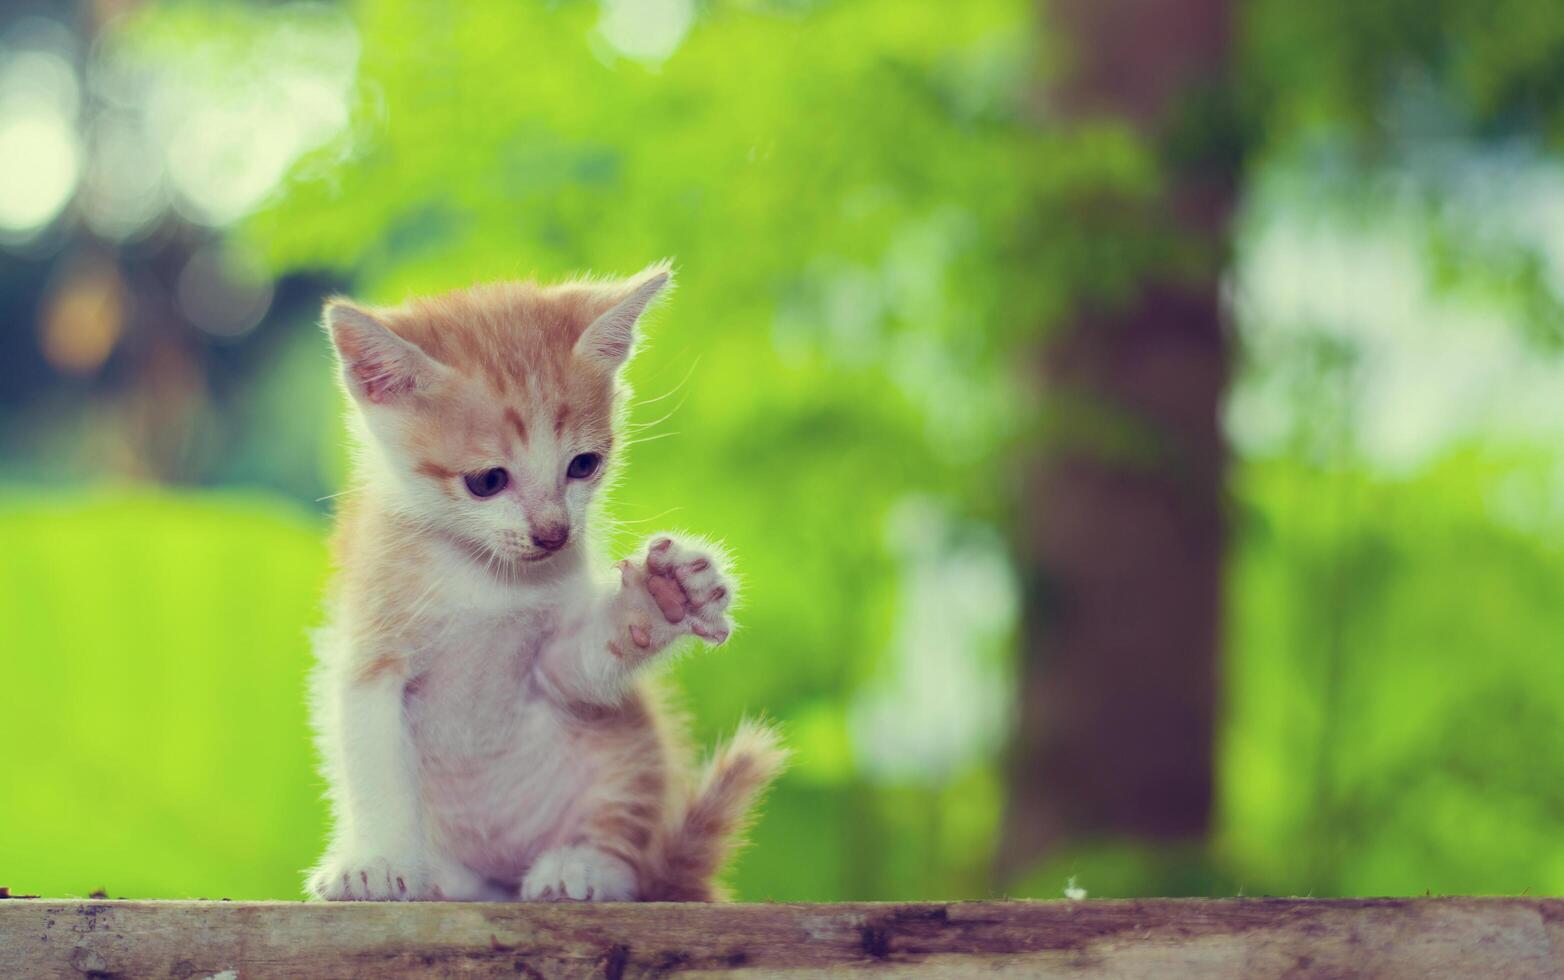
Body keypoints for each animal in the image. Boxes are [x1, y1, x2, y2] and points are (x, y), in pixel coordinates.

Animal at [306, 262, 788, 906]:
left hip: (628, 751)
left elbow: (585, 663)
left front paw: (662, 599)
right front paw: (378, 861)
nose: (554, 533)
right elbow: (373, 763)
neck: (485, 575)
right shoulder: (368, 656)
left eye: (583, 465)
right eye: (487, 480)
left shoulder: (554, 661)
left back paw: (583, 866)